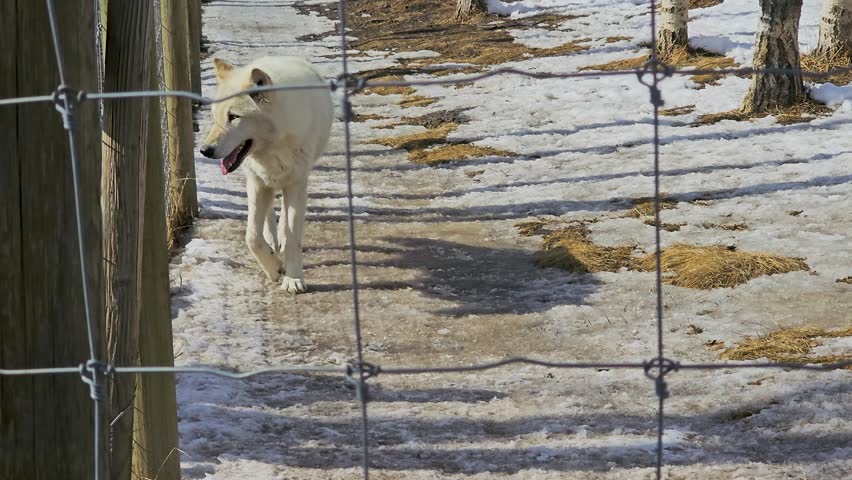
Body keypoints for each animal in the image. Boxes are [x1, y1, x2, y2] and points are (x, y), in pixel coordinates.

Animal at [200, 56, 333, 293]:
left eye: (233, 117)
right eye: (216, 117)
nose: (205, 151)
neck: (274, 146)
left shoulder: (296, 183)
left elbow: (292, 237)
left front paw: (293, 279)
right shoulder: (258, 182)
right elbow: (252, 237)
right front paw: (274, 269)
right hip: (262, 184)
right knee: (268, 216)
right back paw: (272, 240)